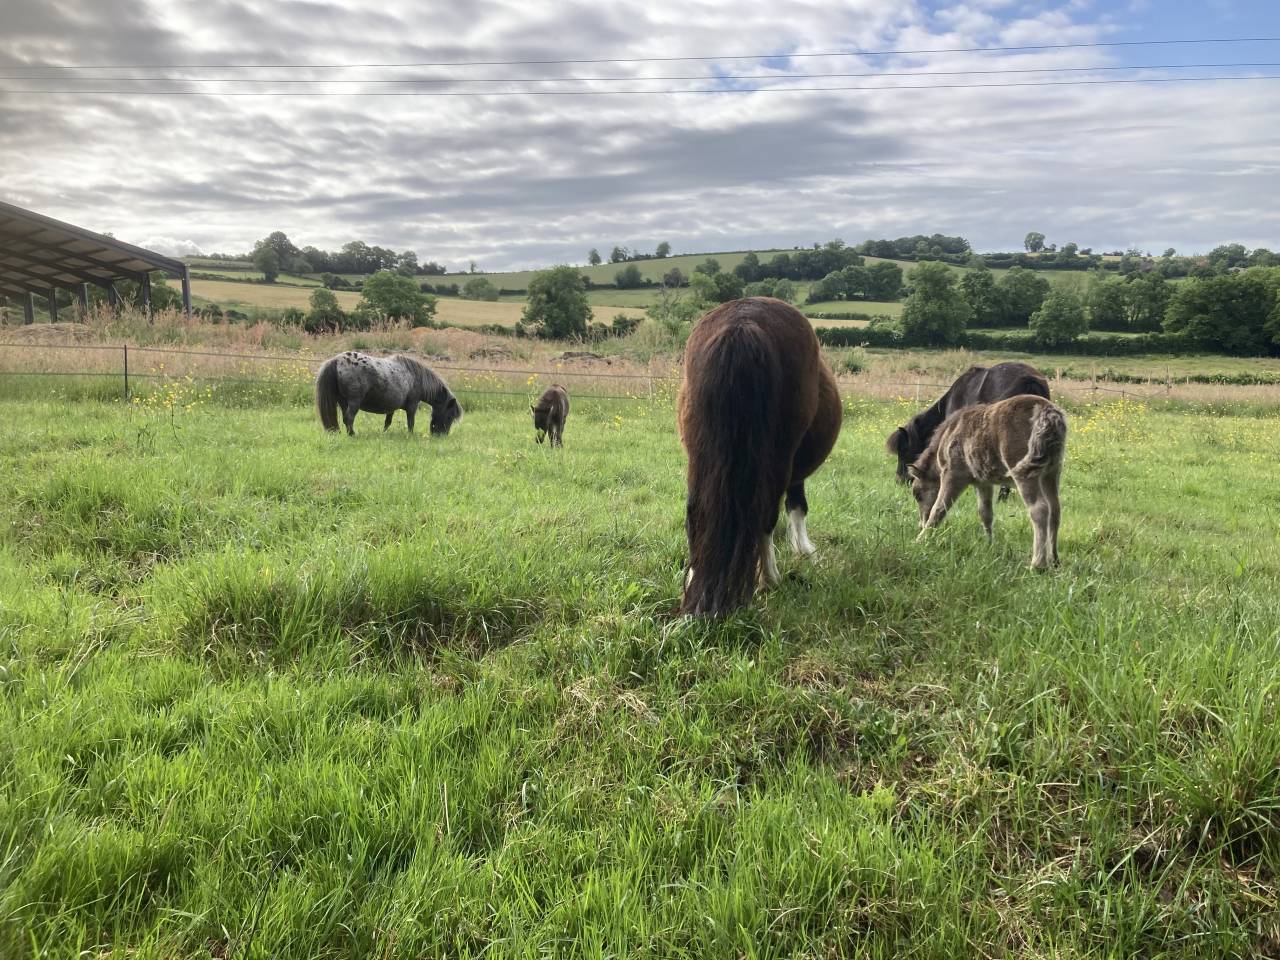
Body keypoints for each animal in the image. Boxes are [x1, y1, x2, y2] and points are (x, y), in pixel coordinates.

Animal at [315, 351, 462, 436]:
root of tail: (336, 360)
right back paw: (352, 435)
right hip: (354, 402)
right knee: (349, 418)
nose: (441, 435)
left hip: (343, 402)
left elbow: (387, 422)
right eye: (450, 416)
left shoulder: (391, 407)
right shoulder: (412, 406)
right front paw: (410, 436)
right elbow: (411, 423)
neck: (415, 376)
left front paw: (383, 434)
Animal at [679, 297, 843, 616]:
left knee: (695, 514)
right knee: (764, 517)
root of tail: (743, 324)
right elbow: (798, 506)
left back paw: (694, 577)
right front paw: (805, 549)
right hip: (777, 462)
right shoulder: (793, 472)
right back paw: (769, 579)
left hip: (699, 458)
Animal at [909, 394, 1067, 569]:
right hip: (1051, 472)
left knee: (1040, 509)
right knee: (1055, 510)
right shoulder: (983, 482)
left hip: (1025, 473)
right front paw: (989, 545)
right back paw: (1054, 559)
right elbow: (986, 513)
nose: (920, 523)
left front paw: (920, 539)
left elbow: (939, 509)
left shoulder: (953, 474)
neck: (949, 433)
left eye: (917, 494)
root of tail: (1048, 411)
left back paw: (1038, 564)